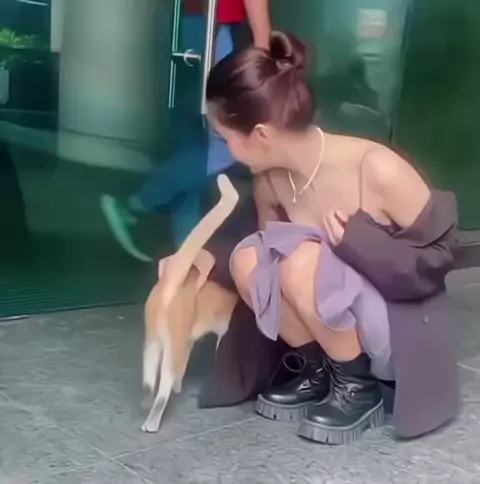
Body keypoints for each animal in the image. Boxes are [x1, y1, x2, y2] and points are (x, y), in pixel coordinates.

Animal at [141, 174, 240, 433]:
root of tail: (171, 285)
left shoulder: (188, 341)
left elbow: (183, 367)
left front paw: (179, 385)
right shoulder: (219, 332)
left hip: (153, 341)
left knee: (148, 381)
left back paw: (146, 403)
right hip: (169, 343)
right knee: (162, 389)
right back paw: (152, 422)